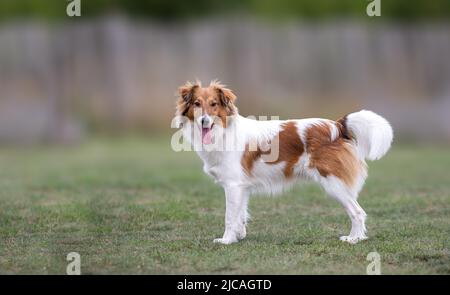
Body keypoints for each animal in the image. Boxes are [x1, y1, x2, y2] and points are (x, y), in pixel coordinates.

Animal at [174, 80, 392, 245]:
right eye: (196, 104)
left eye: (213, 104)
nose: (204, 121)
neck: (223, 131)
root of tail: (336, 126)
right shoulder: (242, 186)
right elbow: (240, 215)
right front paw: (239, 236)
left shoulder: (233, 185)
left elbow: (229, 216)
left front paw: (227, 240)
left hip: (333, 183)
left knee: (357, 212)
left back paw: (355, 239)